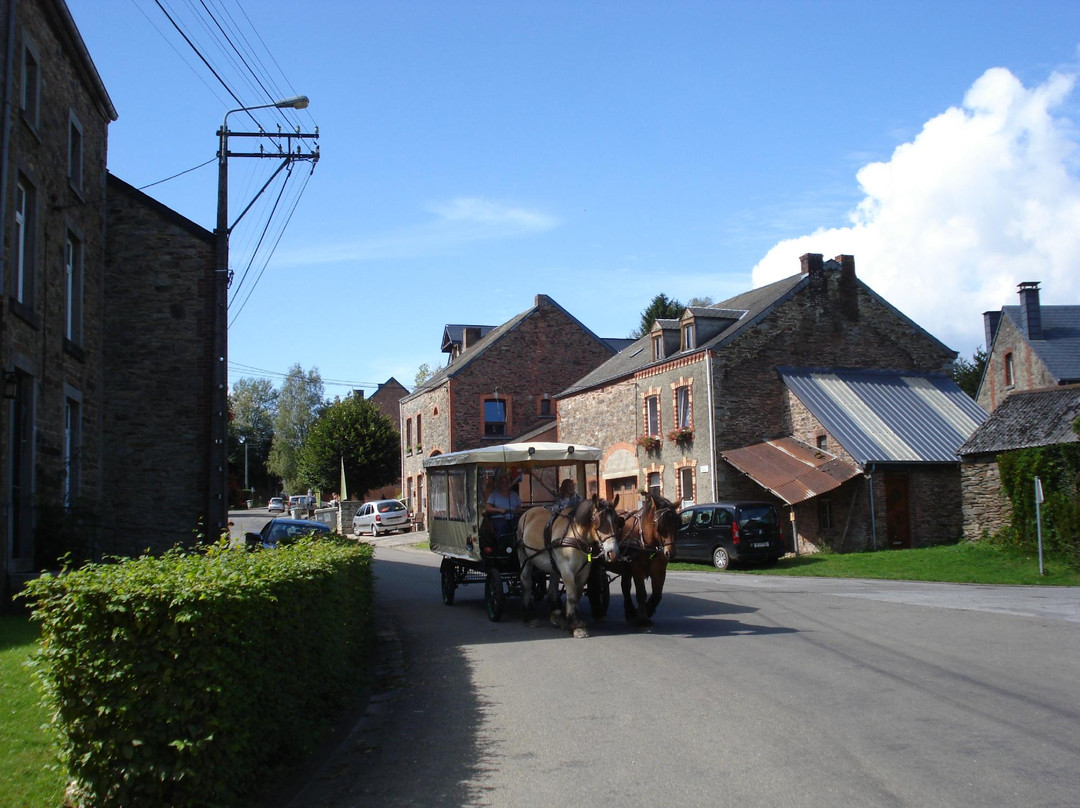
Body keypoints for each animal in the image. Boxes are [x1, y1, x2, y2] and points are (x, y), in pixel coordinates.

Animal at [518, 492, 622, 639]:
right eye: (597, 522)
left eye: (617, 521)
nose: (613, 553)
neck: (575, 536)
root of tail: (528, 512)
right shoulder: (567, 569)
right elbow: (572, 596)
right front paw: (576, 625)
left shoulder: (584, 571)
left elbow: (576, 595)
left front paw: (564, 618)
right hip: (525, 558)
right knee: (526, 583)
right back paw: (529, 616)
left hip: (553, 565)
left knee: (552, 589)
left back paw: (554, 612)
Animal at [613, 488, 678, 626]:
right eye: (659, 525)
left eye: (677, 523)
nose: (670, 553)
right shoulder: (637, 569)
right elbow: (641, 593)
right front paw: (643, 617)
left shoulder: (659, 570)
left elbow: (657, 594)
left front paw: (648, 610)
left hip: (626, 569)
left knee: (625, 587)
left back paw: (630, 612)